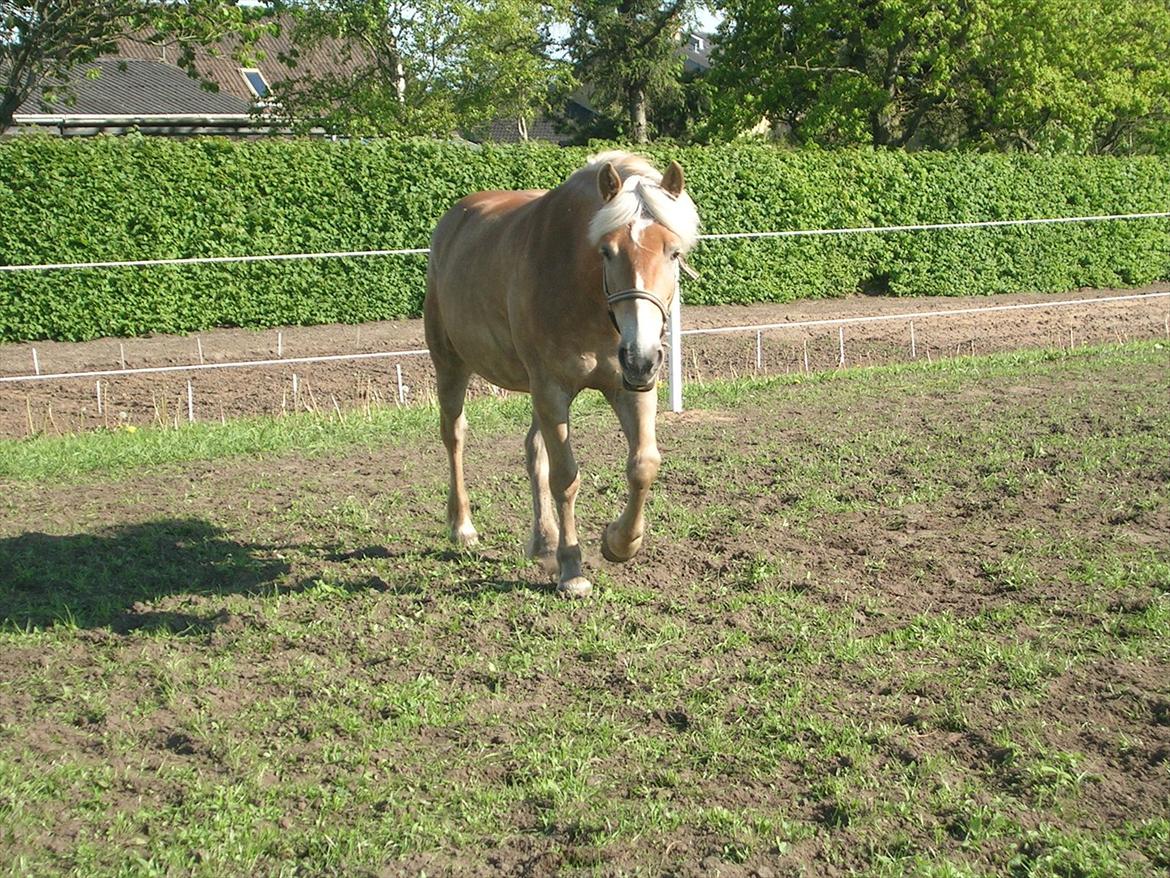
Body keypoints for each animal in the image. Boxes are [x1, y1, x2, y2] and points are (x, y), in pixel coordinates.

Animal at [430, 153, 702, 599]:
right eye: (607, 251)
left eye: (674, 252)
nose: (641, 358)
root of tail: (455, 218)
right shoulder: (553, 390)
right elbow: (566, 477)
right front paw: (572, 569)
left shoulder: (629, 387)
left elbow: (643, 464)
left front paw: (619, 542)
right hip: (451, 362)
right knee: (454, 436)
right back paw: (463, 527)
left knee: (532, 450)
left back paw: (544, 541)